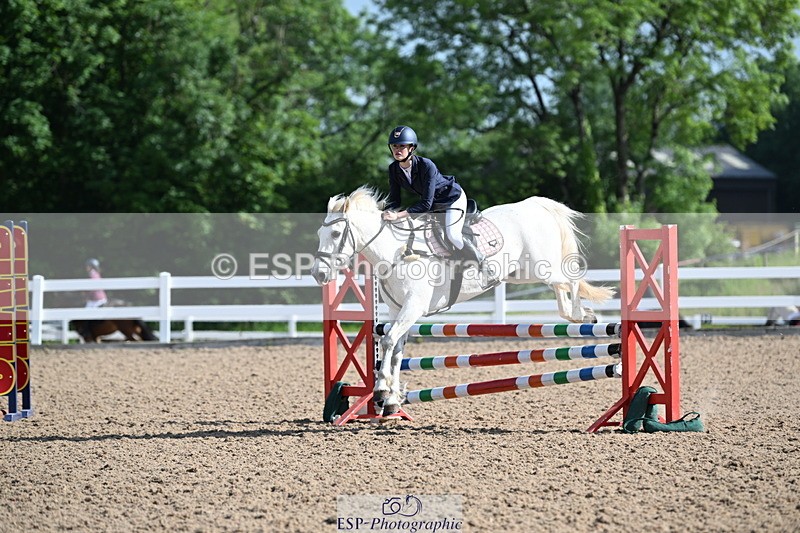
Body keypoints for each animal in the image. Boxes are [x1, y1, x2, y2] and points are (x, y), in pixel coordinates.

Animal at [311, 186, 613, 416]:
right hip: (523, 274)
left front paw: (382, 390)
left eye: (335, 234)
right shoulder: (398, 310)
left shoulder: (413, 307)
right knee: (562, 286)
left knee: (570, 280)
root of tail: (535, 205)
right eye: (319, 235)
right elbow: (395, 348)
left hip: (541, 267)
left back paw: (582, 315)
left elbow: (387, 341)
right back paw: (581, 314)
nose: (318, 274)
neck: (396, 251)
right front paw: (391, 401)